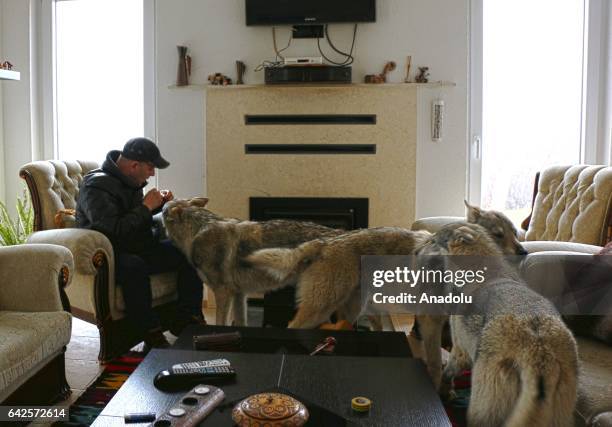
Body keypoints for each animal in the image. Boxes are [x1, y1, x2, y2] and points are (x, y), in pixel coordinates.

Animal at [161, 199, 344, 326]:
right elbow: (240, 323)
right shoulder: (239, 294)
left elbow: (221, 323)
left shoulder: (223, 293)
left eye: (162, 211)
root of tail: (340, 233)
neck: (197, 230)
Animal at [418, 222, 576, 427]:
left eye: (433, 240)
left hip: (483, 406)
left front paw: (444, 391)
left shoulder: (460, 350)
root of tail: (540, 355)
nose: (417, 250)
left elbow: (447, 372)